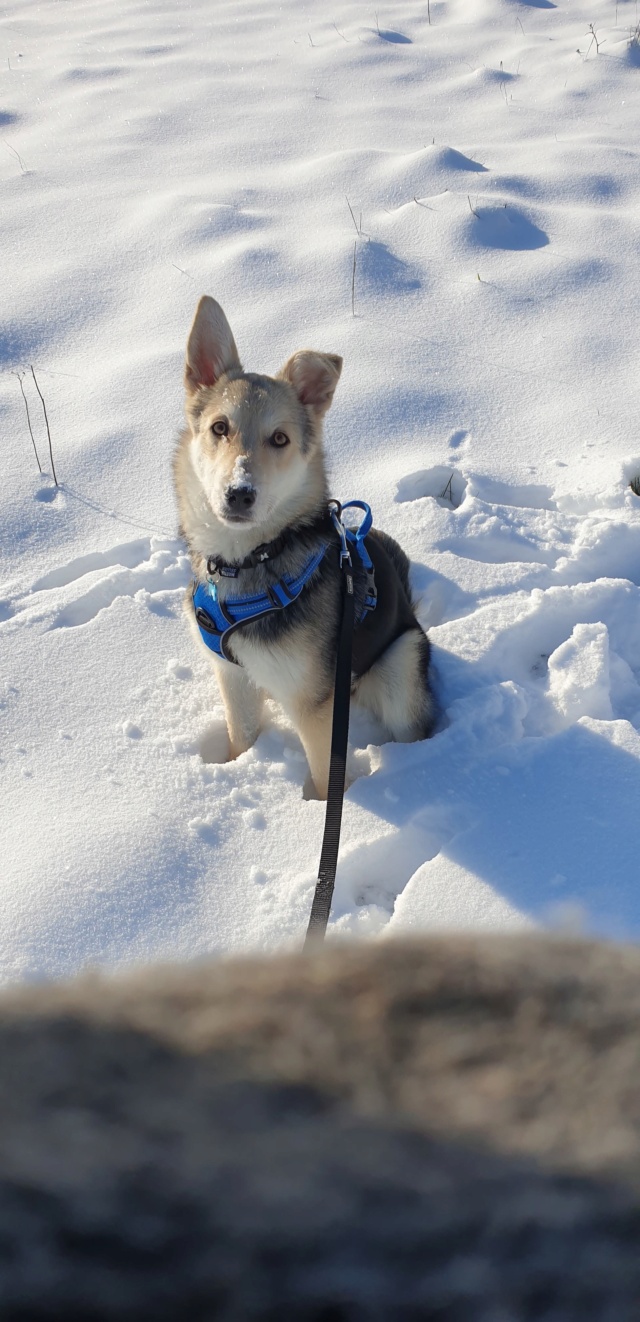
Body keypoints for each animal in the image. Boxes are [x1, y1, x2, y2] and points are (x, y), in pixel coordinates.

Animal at [173, 297, 433, 793]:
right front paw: (239, 766)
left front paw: (314, 805)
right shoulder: (233, 675)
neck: (248, 561)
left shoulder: (313, 701)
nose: (239, 493)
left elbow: (326, 775)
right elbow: (241, 737)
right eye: (220, 428)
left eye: (280, 439)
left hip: (400, 662)